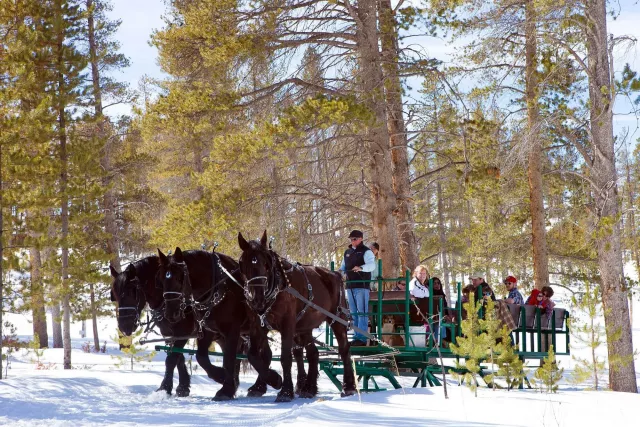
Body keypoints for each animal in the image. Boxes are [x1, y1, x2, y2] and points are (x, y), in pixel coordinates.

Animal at [157, 247, 282, 402]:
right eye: (161, 279)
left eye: (179, 278)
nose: (170, 313)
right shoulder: (206, 330)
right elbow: (201, 357)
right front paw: (222, 377)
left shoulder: (232, 330)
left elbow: (228, 358)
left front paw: (226, 389)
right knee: (265, 354)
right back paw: (259, 386)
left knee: (261, 355)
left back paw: (266, 382)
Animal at [238, 231, 358, 402]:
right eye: (243, 264)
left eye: (266, 264)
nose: (257, 300)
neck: (278, 286)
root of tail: (334, 274)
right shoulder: (258, 325)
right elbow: (254, 355)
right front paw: (268, 382)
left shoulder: (287, 325)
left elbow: (285, 357)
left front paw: (285, 391)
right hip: (304, 326)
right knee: (313, 353)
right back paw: (308, 388)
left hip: (337, 319)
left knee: (344, 349)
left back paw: (348, 387)